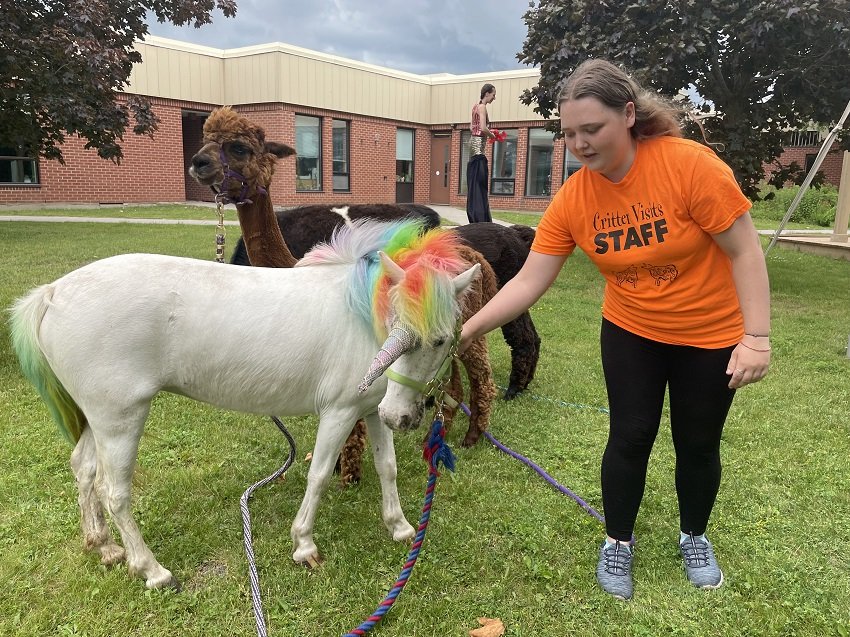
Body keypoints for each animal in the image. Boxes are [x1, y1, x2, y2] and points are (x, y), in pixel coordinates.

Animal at [9, 219, 476, 588]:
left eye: (442, 340)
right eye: (396, 325)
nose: (404, 417)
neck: (361, 315)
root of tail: (53, 293)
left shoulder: (371, 410)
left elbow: (387, 467)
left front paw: (399, 527)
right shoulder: (340, 412)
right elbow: (319, 476)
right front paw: (304, 544)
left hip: (97, 418)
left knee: (84, 470)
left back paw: (104, 546)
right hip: (120, 420)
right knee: (115, 493)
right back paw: (152, 570)